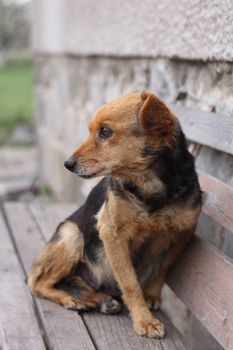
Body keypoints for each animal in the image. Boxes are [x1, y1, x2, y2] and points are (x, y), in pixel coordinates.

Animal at [28, 91, 201, 338]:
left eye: (105, 132)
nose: (67, 164)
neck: (150, 187)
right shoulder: (112, 233)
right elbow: (130, 283)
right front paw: (144, 320)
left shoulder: (183, 234)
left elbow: (162, 269)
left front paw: (151, 296)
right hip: (72, 235)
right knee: (37, 284)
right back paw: (75, 300)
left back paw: (99, 300)